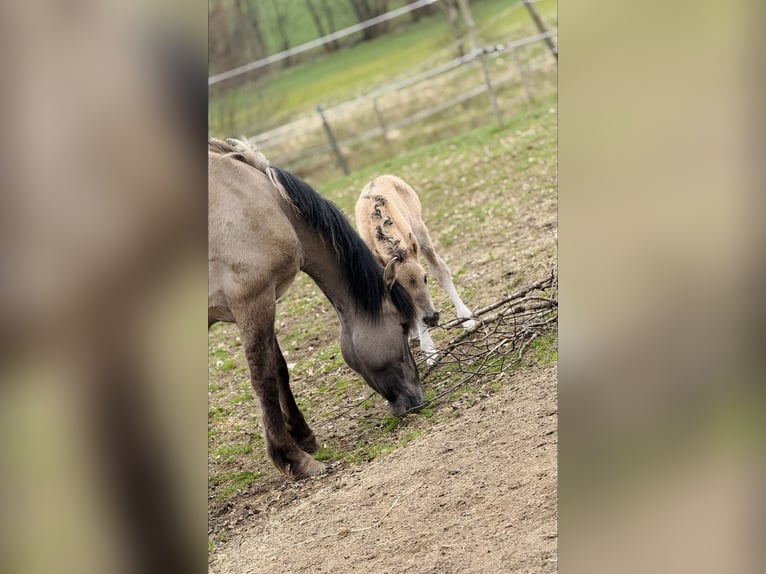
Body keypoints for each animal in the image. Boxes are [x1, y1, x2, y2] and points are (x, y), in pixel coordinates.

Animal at [208, 139, 424, 479]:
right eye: (403, 325)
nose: (417, 397)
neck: (263, 203)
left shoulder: (265, 300)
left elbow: (279, 370)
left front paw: (304, 436)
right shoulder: (253, 301)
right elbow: (264, 378)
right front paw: (294, 458)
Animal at [355, 175, 478, 364]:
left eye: (425, 278)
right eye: (400, 287)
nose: (432, 318)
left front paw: (430, 351)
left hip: (420, 231)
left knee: (440, 268)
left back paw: (466, 318)